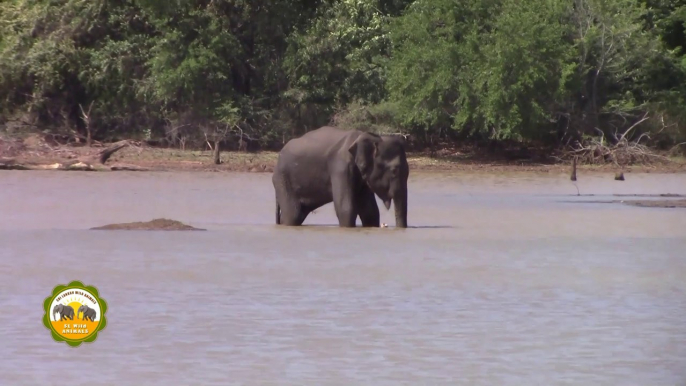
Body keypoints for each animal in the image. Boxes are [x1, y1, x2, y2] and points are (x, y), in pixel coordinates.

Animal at [272, 126, 412, 228]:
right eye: (394, 170)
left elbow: (370, 211)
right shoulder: (340, 167)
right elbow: (346, 208)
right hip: (282, 179)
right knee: (293, 215)